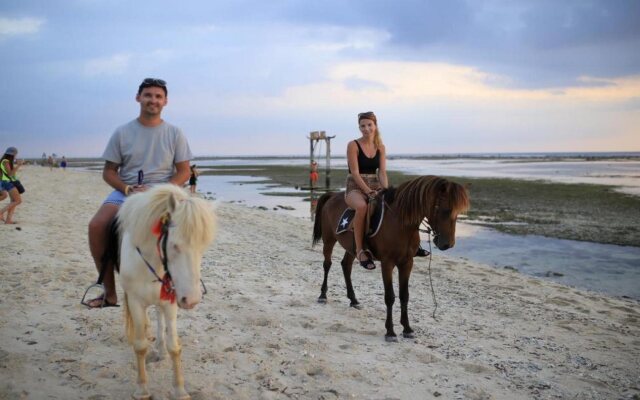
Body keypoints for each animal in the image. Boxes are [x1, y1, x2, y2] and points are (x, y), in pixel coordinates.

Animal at [115, 185, 215, 400]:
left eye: (202, 247)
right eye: (175, 245)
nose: (192, 300)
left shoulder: (171, 301)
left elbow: (174, 346)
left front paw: (179, 390)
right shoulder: (135, 302)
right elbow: (140, 346)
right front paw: (142, 389)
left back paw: (160, 348)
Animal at [312, 177, 470, 342]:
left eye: (458, 212)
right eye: (444, 210)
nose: (447, 244)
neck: (400, 223)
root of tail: (332, 196)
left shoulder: (407, 263)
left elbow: (404, 295)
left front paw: (407, 328)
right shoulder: (387, 263)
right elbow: (390, 296)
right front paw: (390, 331)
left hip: (352, 248)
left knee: (346, 266)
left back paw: (353, 300)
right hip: (329, 240)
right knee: (327, 264)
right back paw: (323, 295)